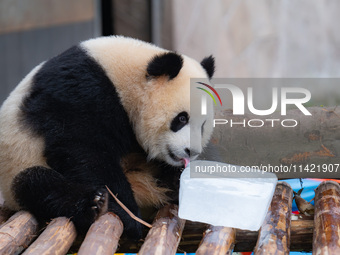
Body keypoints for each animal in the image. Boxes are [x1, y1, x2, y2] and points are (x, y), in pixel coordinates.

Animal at [0, 36, 214, 239]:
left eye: (203, 125)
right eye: (181, 118)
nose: (191, 151)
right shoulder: (81, 91)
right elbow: (84, 150)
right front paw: (128, 216)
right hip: (18, 164)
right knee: (38, 185)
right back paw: (93, 204)